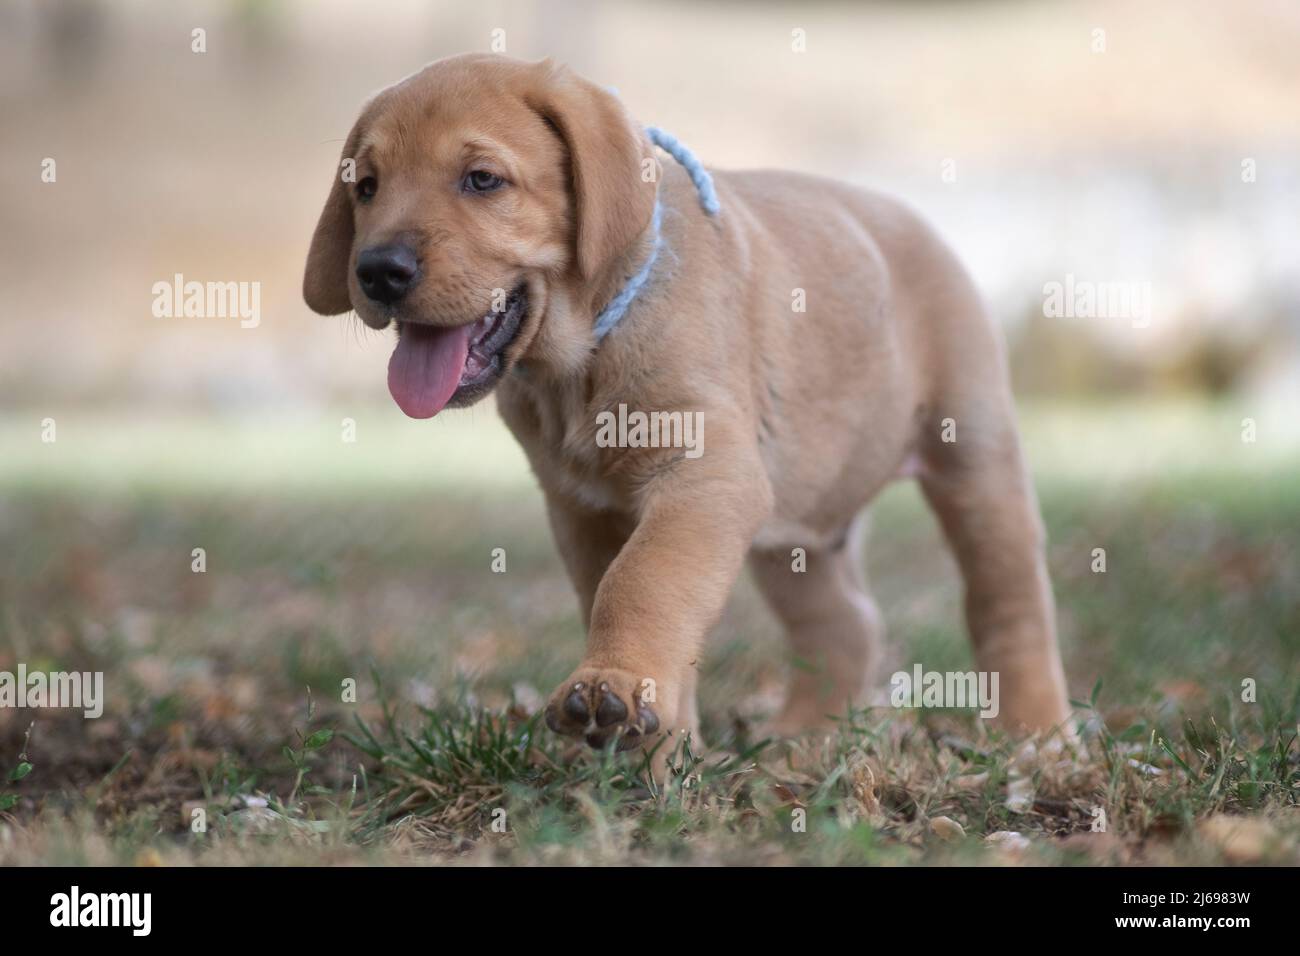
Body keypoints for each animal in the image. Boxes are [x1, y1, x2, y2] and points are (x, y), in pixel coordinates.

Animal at [301, 55, 1066, 764]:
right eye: (366, 188)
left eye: (482, 180)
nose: (378, 271)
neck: (583, 357)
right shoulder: (584, 510)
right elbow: (631, 602)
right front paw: (664, 750)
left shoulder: (704, 478)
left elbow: (643, 583)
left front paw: (614, 689)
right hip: (795, 530)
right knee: (848, 624)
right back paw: (805, 739)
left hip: (974, 458)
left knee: (1009, 601)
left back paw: (1034, 731)